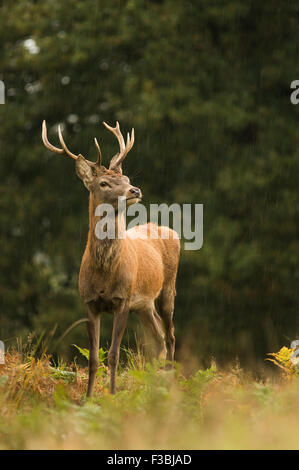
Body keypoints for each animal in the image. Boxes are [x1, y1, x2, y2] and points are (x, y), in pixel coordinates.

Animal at [40, 119, 179, 394]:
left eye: (126, 177)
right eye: (103, 183)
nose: (135, 189)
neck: (104, 273)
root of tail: (173, 232)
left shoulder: (122, 299)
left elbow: (114, 354)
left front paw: (113, 395)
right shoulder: (89, 302)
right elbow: (94, 357)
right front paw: (88, 397)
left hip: (168, 288)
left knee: (170, 336)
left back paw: (169, 382)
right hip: (144, 304)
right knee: (158, 338)